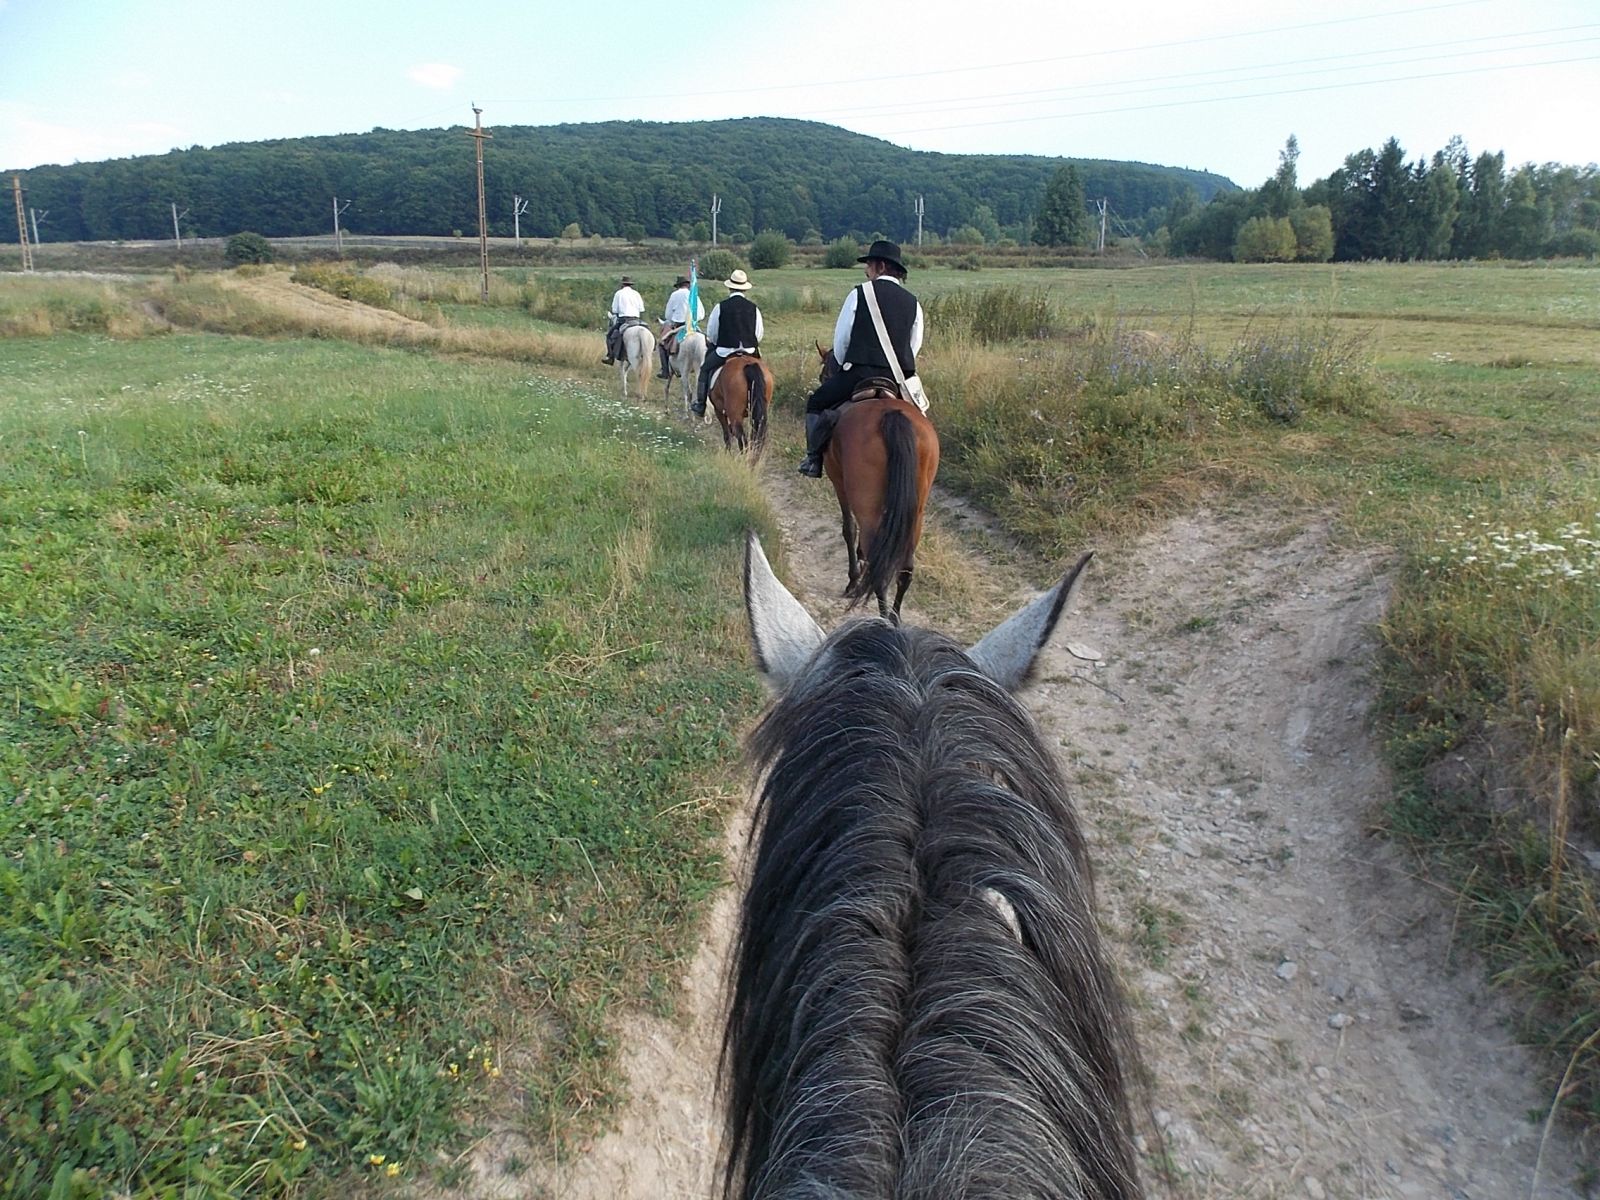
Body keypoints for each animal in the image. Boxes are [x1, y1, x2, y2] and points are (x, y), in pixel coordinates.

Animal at [812, 347, 934, 624]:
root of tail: (892, 415)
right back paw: (894, 619)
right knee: (905, 569)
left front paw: (853, 580)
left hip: (866, 505)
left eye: (824, 372)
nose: (823, 380)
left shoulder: (840, 484)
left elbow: (849, 529)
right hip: (916, 512)